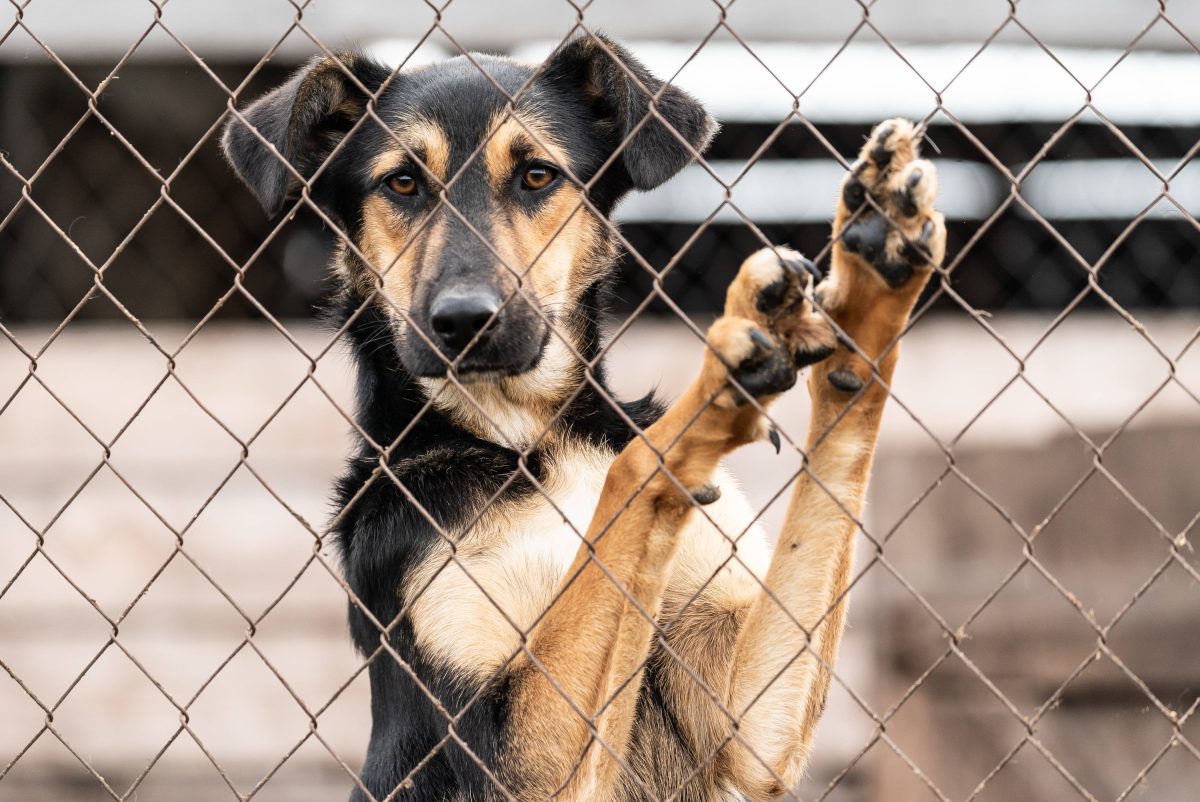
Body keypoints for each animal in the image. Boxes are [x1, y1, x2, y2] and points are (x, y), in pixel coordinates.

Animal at [220, 34, 940, 802]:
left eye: (537, 175)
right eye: (403, 184)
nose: (464, 322)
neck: (526, 440)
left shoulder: (746, 719)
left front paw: (871, 283)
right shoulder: (512, 757)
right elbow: (633, 471)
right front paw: (714, 392)